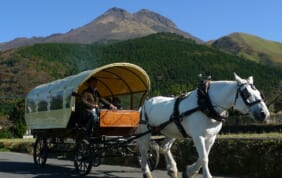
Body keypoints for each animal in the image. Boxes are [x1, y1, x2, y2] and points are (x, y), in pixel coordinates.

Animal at [137, 73, 268, 177]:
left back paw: (172, 169)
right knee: (143, 150)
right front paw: (205, 175)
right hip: (145, 131)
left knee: (165, 146)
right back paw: (146, 171)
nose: (264, 114)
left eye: (259, 93)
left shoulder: (211, 136)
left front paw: (189, 171)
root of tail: (146, 102)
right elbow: (204, 158)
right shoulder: (198, 136)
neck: (206, 104)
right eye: (246, 94)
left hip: (173, 130)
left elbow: (204, 156)